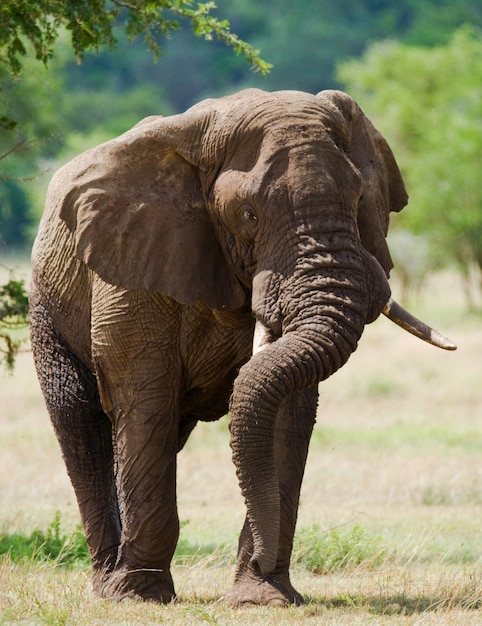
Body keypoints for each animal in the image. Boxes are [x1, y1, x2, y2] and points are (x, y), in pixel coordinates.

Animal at [29, 88, 456, 604]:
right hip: (47, 304)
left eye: (358, 199)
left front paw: (262, 596)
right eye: (248, 214)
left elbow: (285, 408)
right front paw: (139, 596)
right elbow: (145, 397)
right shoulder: (131, 263)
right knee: (82, 422)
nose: (262, 560)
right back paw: (107, 584)